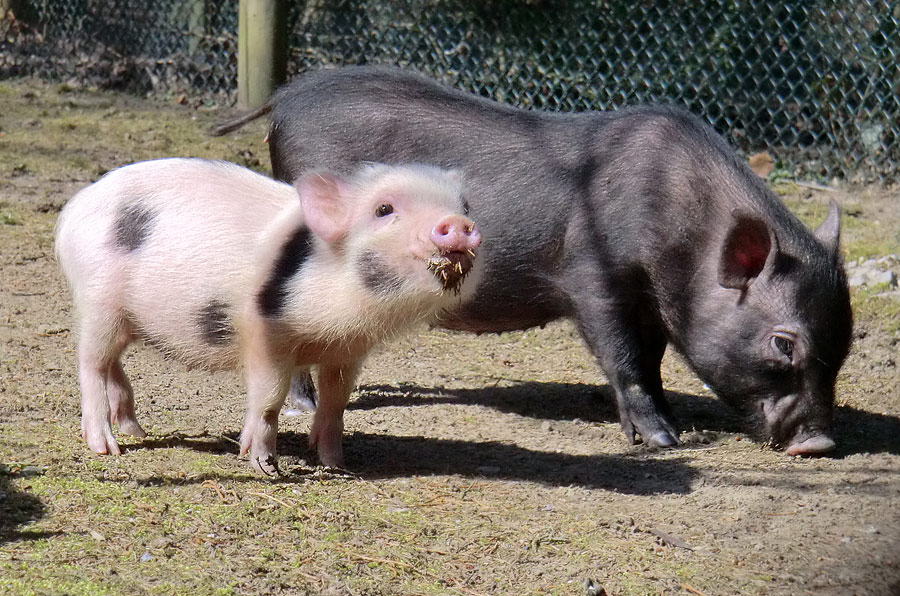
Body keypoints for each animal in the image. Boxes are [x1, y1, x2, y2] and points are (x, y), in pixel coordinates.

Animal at [57, 156, 486, 472]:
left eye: (464, 206)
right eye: (384, 209)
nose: (458, 223)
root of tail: (71, 211)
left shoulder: (349, 350)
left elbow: (336, 401)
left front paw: (336, 463)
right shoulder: (265, 332)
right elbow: (270, 397)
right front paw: (261, 462)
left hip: (123, 318)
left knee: (112, 362)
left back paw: (137, 430)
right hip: (97, 300)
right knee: (90, 363)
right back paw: (107, 448)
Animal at [214, 66, 856, 456]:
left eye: (846, 343)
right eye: (784, 343)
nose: (821, 444)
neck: (684, 236)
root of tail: (287, 94)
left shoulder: (651, 304)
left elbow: (649, 360)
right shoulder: (592, 275)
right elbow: (624, 357)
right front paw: (664, 442)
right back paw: (302, 405)